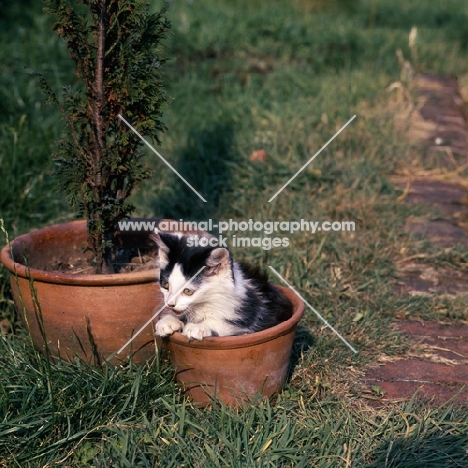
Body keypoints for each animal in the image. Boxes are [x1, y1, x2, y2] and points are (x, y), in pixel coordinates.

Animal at [150, 229, 292, 340]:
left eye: (188, 291)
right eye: (165, 285)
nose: (170, 304)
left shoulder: (253, 313)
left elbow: (227, 324)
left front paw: (198, 326)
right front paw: (167, 320)